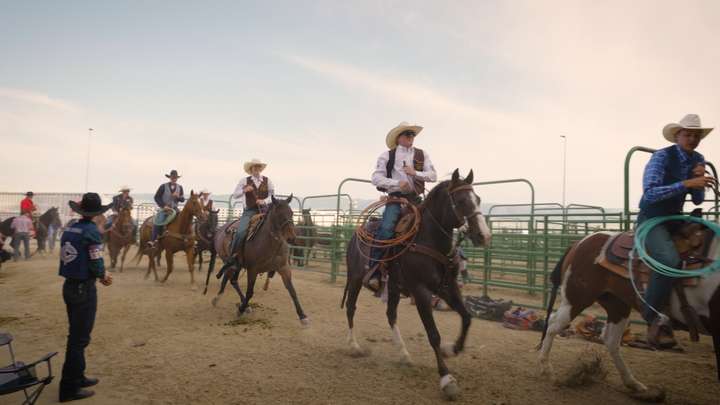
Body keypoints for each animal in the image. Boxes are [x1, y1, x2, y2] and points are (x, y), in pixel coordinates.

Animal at [204, 194, 308, 324]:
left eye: (291, 213)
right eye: (278, 214)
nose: (291, 238)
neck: (270, 243)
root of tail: (220, 230)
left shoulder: (284, 267)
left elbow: (292, 290)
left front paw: (302, 316)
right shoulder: (252, 270)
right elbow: (250, 292)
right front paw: (240, 310)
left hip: (237, 265)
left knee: (231, 280)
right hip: (229, 261)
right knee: (231, 280)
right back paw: (235, 303)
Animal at [344, 169, 496, 400]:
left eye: (477, 199)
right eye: (461, 201)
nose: (484, 235)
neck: (429, 240)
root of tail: (356, 234)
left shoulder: (448, 288)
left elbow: (467, 317)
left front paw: (452, 349)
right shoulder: (421, 292)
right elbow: (433, 335)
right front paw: (447, 379)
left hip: (393, 287)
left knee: (391, 315)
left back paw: (403, 354)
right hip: (354, 279)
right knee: (351, 308)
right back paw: (354, 346)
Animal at [536, 219, 720, 396]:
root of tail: (579, 243)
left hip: (618, 305)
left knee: (610, 340)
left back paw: (633, 383)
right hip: (577, 299)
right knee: (553, 324)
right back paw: (547, 370)